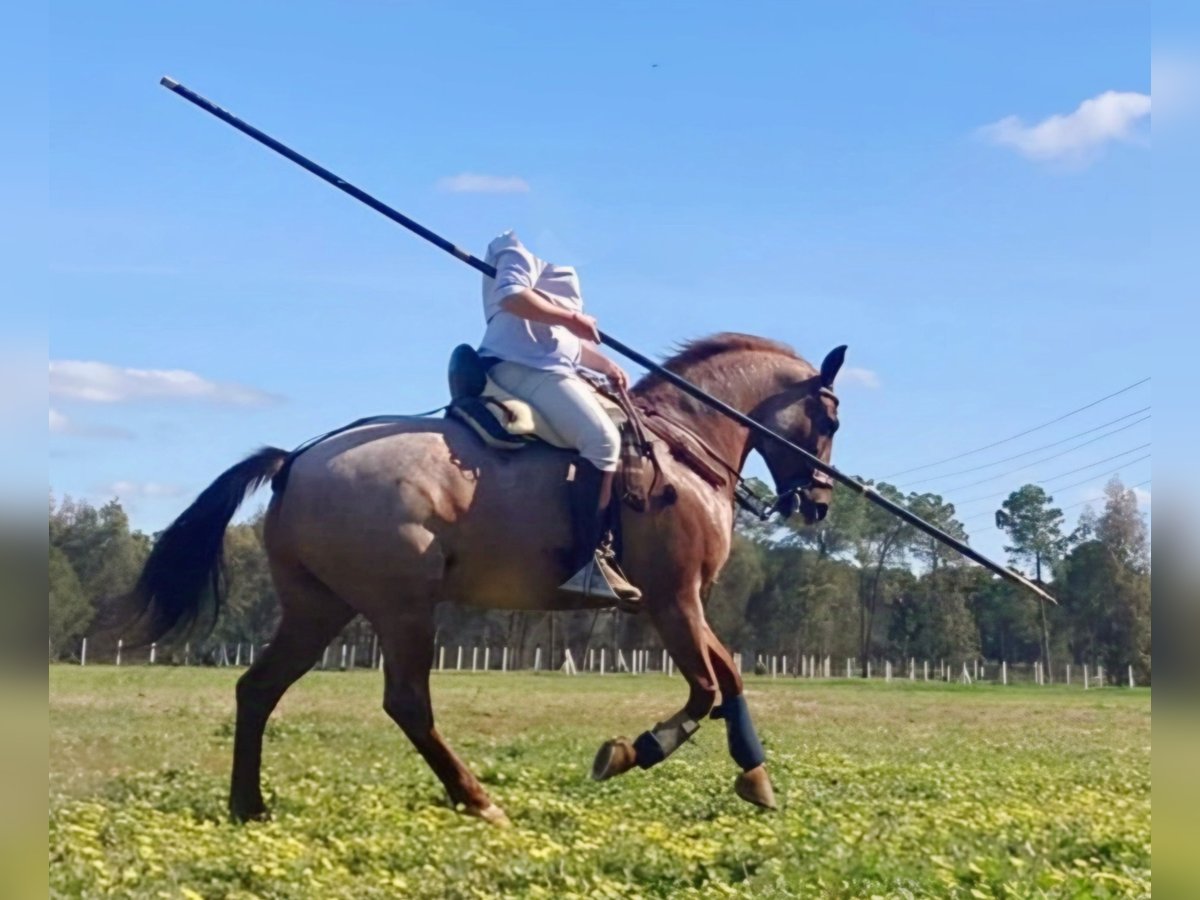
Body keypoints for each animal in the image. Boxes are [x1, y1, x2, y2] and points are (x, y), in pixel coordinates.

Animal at [121, 333, 849, 825]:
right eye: (831, 419)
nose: (817, 503)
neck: (683, 446)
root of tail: (296, 460)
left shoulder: (682, 605)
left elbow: (730, 678)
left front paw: (756, 778)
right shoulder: (673, 600)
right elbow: (705, 687)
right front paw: (629, 752)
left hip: (317, 607)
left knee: (258, 688)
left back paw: (249, 804)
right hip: (402, 607)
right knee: (407, 703)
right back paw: (476, 798)